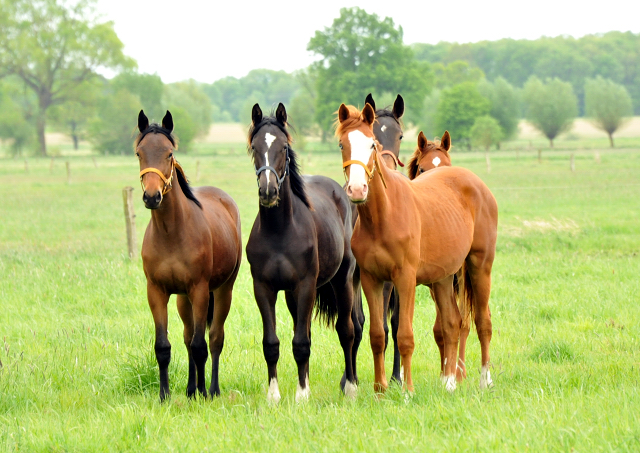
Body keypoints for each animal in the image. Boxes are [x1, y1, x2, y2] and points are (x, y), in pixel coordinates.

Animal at [246, 103, 360, 402]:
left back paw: (351, 387)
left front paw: (302, 396)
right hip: (292, 295)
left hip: (343, 280)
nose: (268, 191)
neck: (280, 231)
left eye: (284, 147)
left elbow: (301, 342)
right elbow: (272, 343)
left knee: (347, 330)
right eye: (254, 146)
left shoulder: (306, 284)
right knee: (306, 327)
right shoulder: (264, 288)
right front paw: (274, 396)